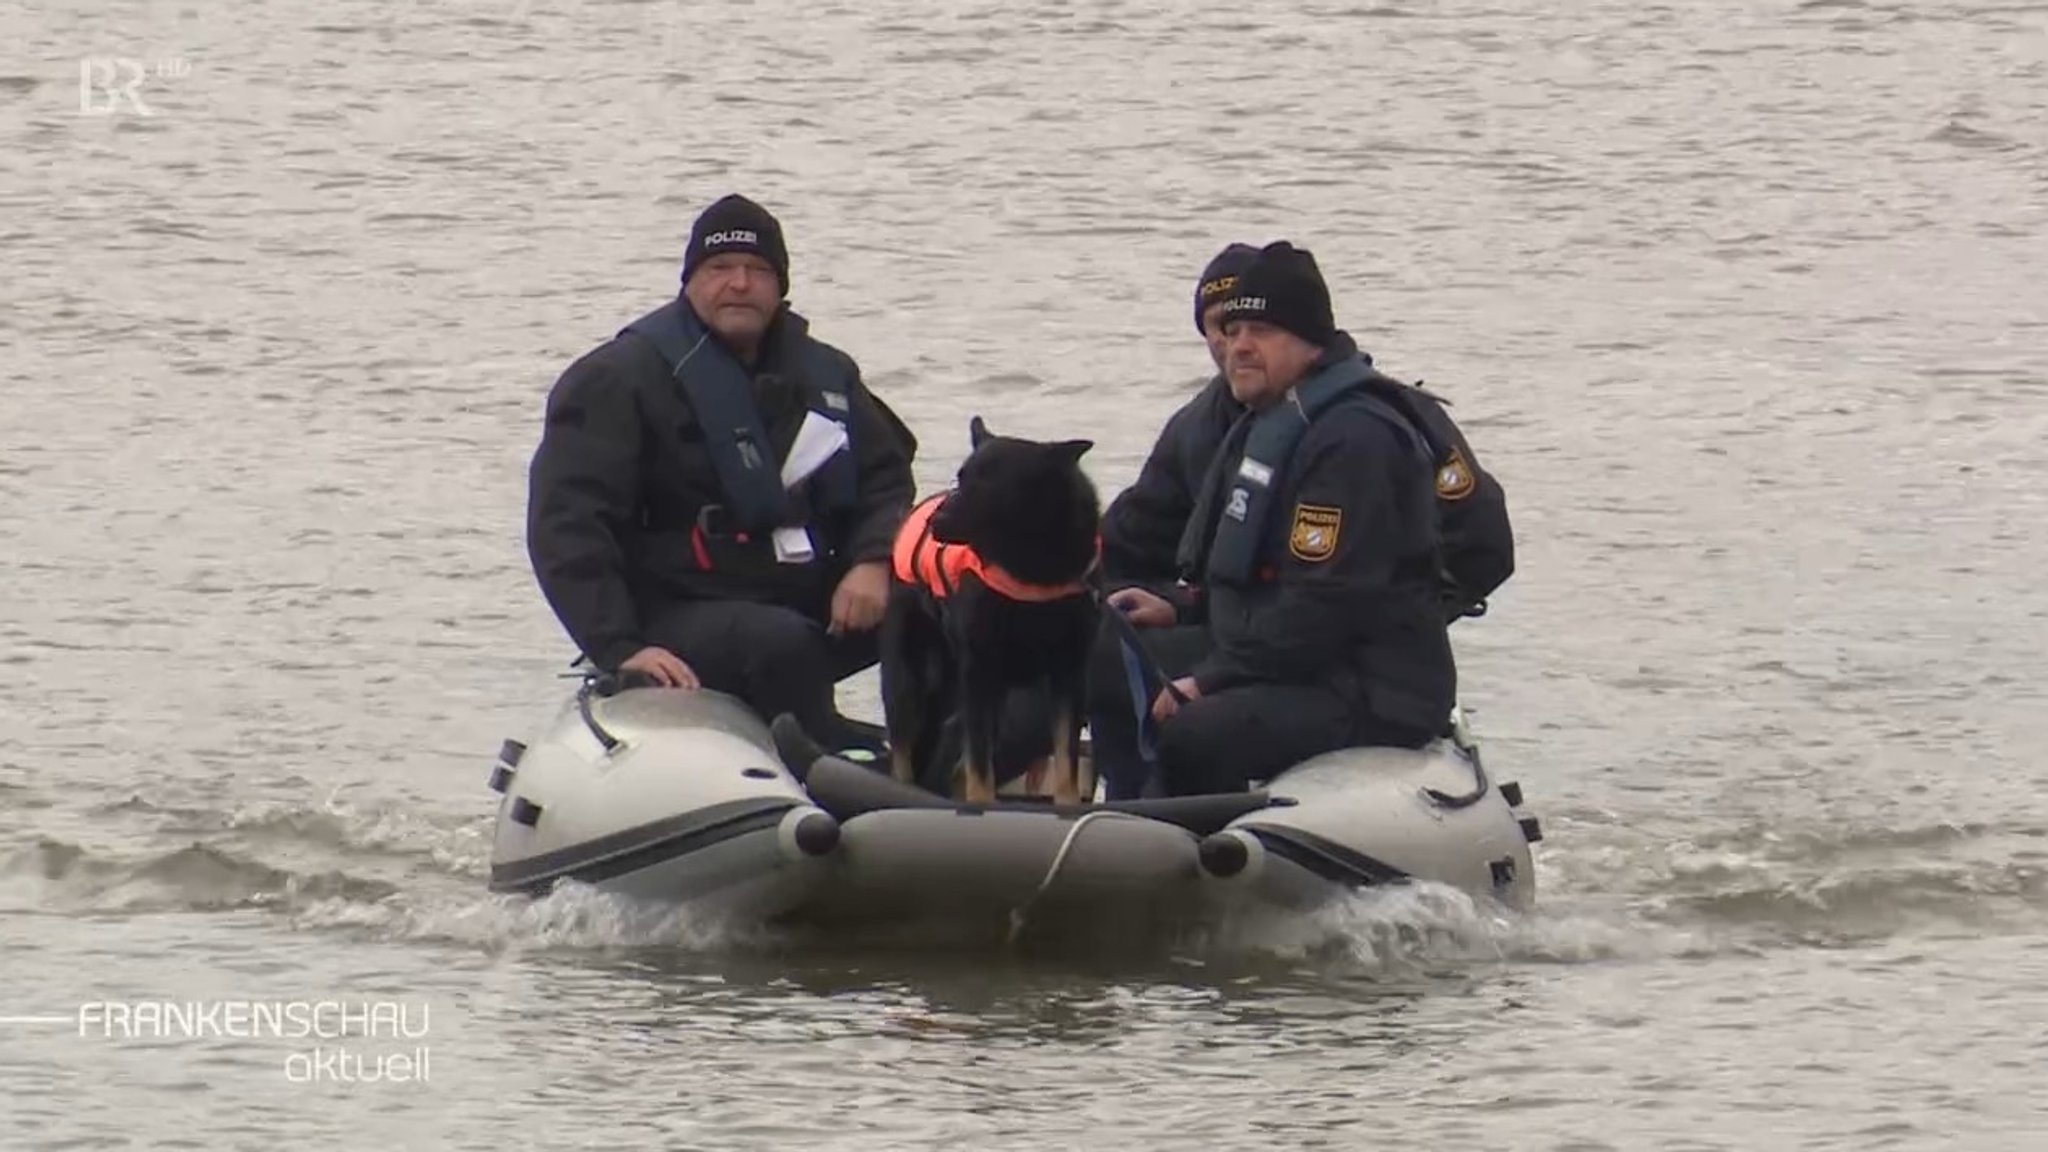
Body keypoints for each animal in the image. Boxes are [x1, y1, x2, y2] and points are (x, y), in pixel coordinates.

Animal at [880, 416, 1105, 803]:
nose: (934, 523)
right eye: (961, 478)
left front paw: (1067, 804)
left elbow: (1066, 759)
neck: (1032, 565)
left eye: (989, 484)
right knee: (906, 757)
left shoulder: (1070, 674)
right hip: (910, 682)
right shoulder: (979, 673)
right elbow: (979, 768)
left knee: (954, 767)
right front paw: (982, 805)